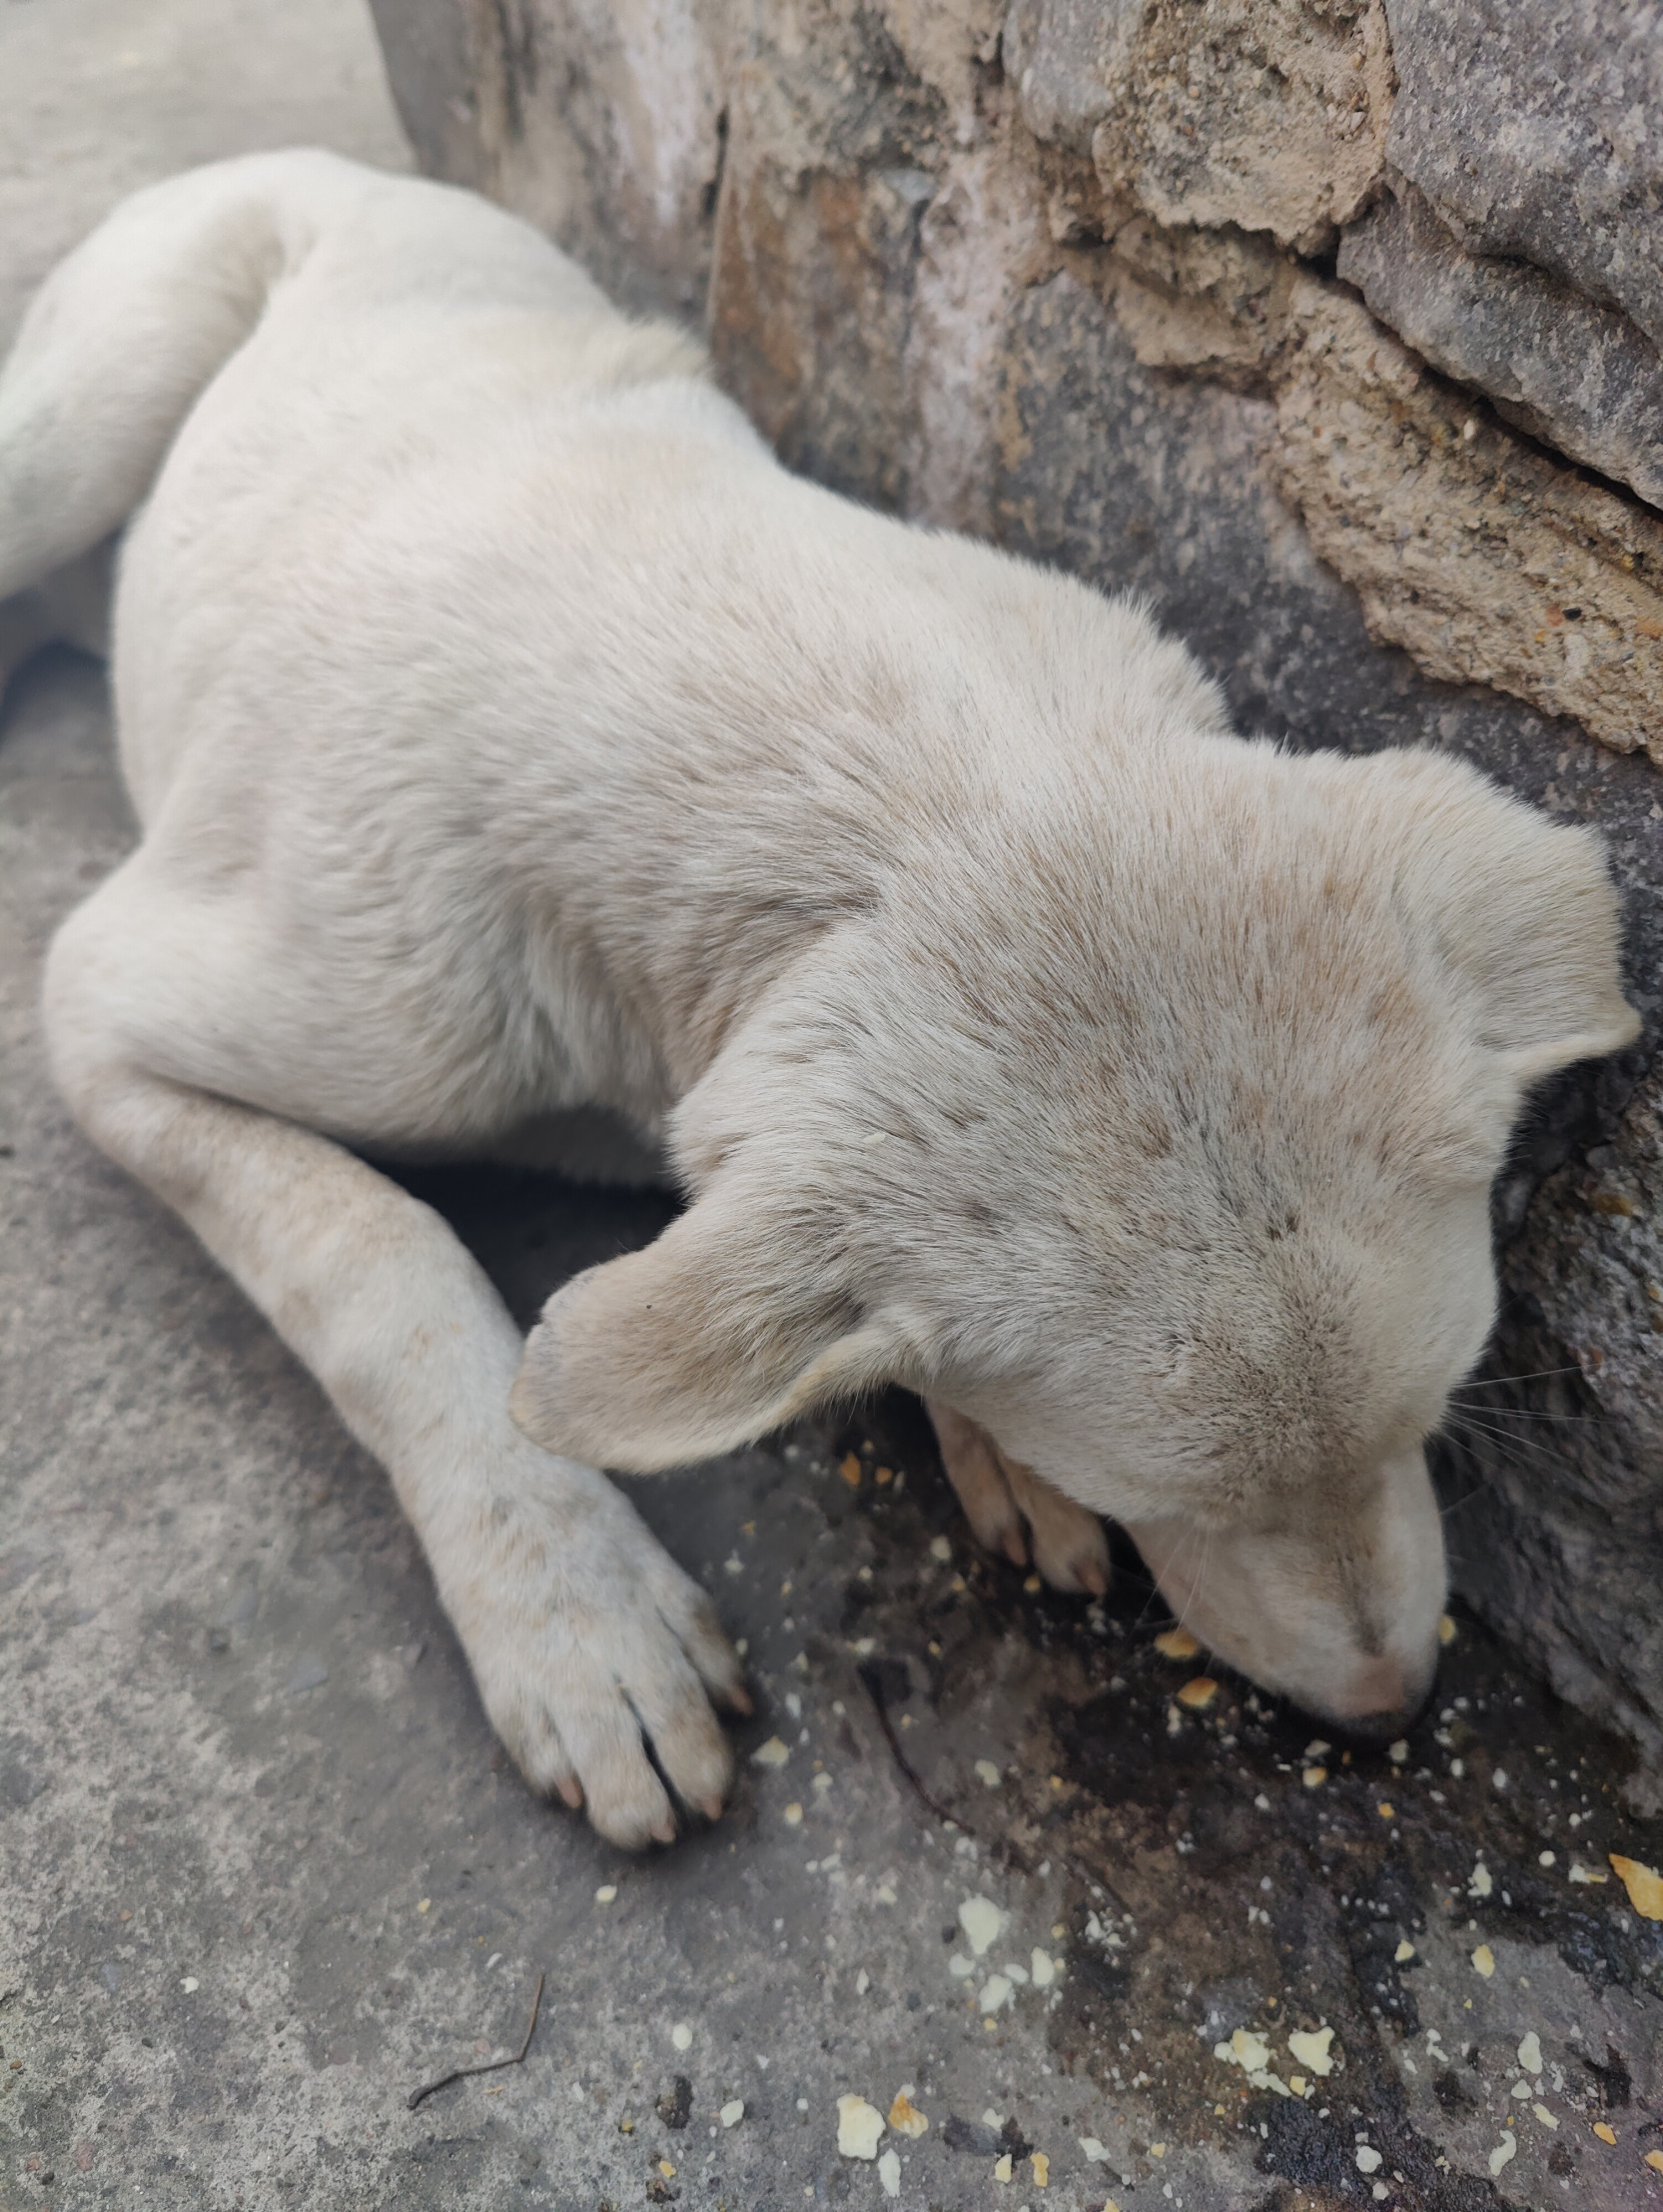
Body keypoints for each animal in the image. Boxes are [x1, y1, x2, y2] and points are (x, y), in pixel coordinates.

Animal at [3, 151, 1636, 1848]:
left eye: (1432, 1424)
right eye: (1175, 1505)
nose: (1390, 1711)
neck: (885, 788)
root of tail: (321, 160)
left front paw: (975, 1443)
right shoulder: (128, 1002)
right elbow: (382, 1261)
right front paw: (582, 1617)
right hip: (68, 434)